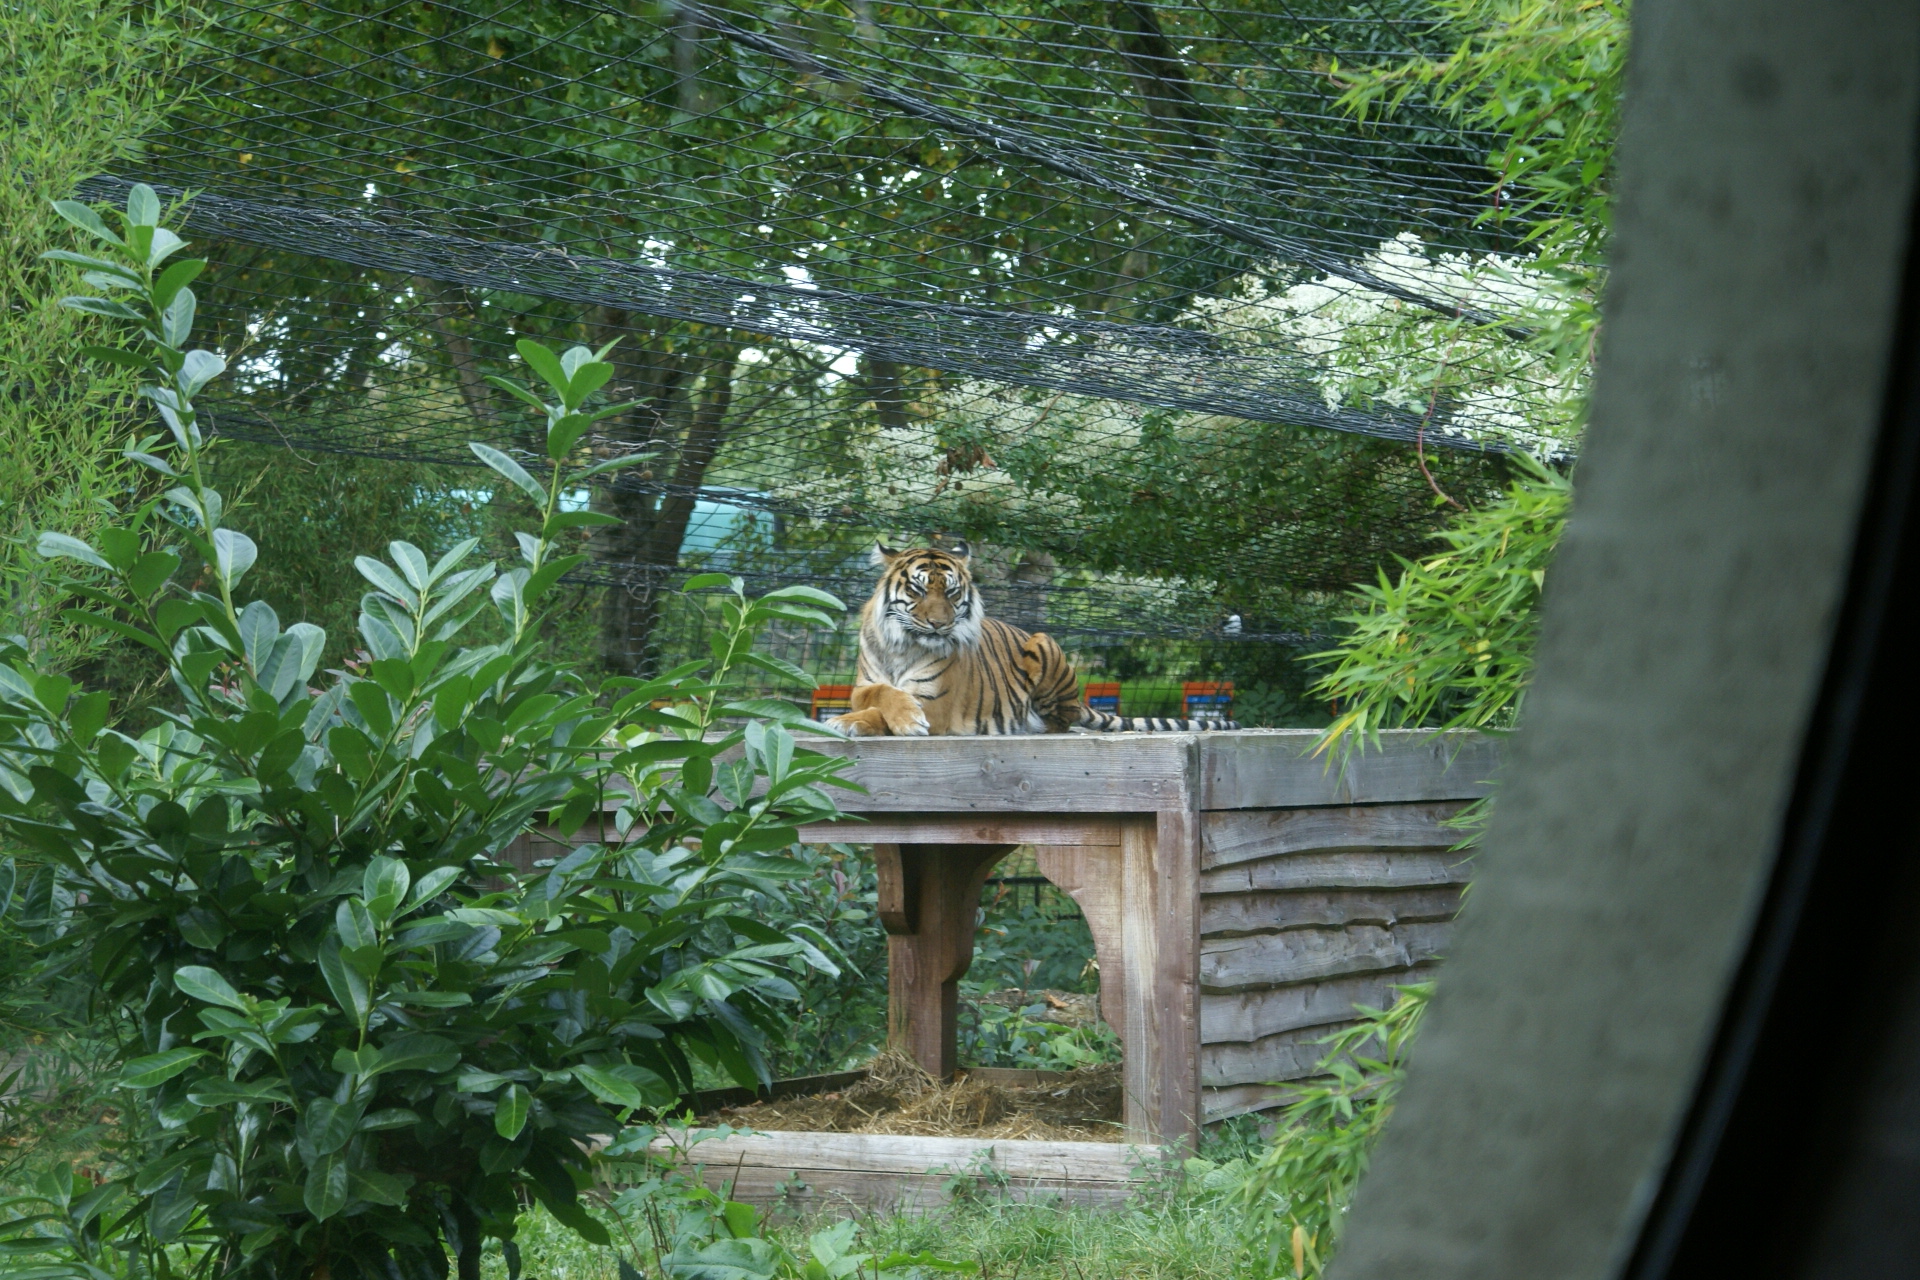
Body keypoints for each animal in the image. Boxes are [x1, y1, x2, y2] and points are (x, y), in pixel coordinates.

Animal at [828, 543, 1238, 736]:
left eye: (952, 592)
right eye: (917, 589)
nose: (939, 626)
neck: (904, 646)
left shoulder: (934, 703)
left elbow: (883, 710)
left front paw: (858, 722)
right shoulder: (863, 684)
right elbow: (881, 694)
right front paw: (851, 717)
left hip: (1044, 645)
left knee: (1063, 720)